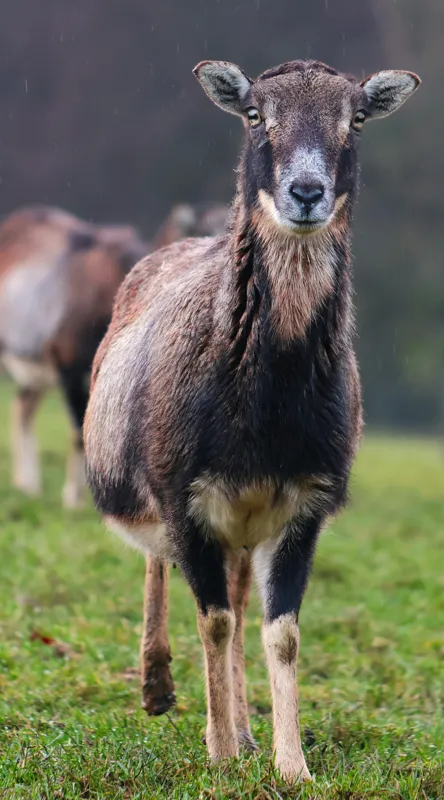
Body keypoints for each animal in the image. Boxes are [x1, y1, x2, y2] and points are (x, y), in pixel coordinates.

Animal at [84, 60, 420, 781]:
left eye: (355, 119)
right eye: (256, 116)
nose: (306, 192)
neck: (265, 410)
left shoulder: (302, 504)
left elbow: (279, 632)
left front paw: (289, 765)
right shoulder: (184, 497)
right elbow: (211, 620)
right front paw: (216, 754)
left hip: (242, 526)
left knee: (241, 605)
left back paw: (242, 730)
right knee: (167, 572)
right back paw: (159, 689)